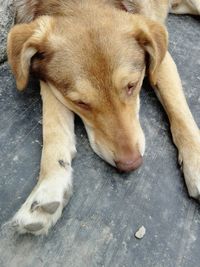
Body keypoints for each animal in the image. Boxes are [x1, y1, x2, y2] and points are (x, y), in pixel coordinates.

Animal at [6, 0, 200, 236]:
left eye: (131, 85)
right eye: (81, 103)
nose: (131, 164)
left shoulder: (161, 61)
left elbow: (179, 110)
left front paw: (196, 164)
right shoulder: (50, 81)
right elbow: (53, 128)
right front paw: (50, 186)